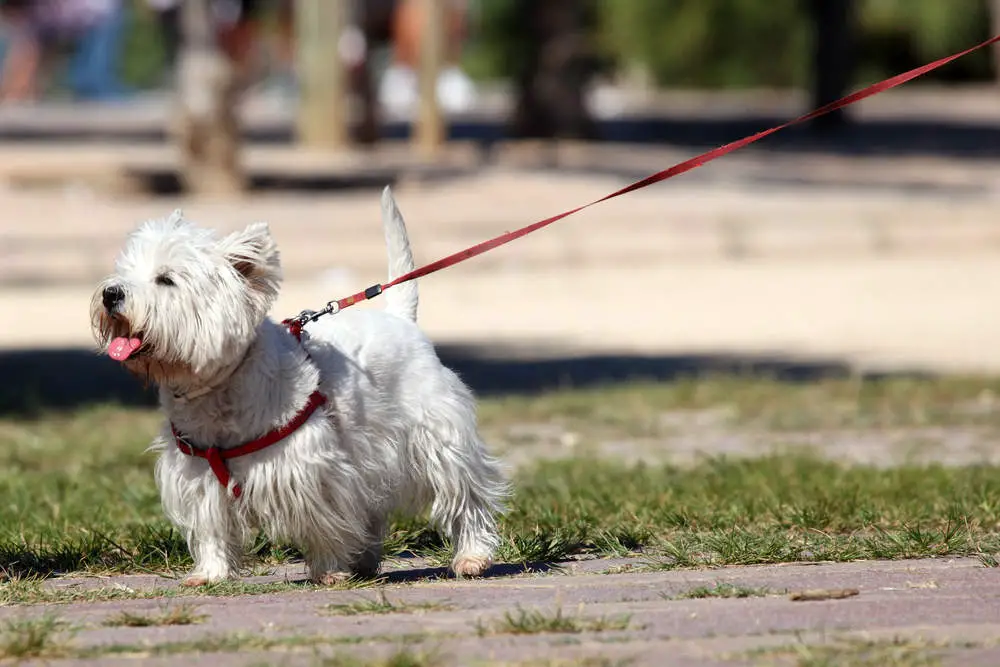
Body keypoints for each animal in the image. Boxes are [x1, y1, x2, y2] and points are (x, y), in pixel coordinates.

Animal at [91, 187, 512, 584]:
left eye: (166, 279)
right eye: (124, 271)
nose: (110, 293)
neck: (219, 388)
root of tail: (401, 319)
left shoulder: (314, 470)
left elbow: (324, 523)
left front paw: (329, 570)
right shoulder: (198, 476)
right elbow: (212, 528)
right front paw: (210, 574)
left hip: (437, 437)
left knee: (465, 495)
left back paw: (471, 557)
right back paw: (365, 560)